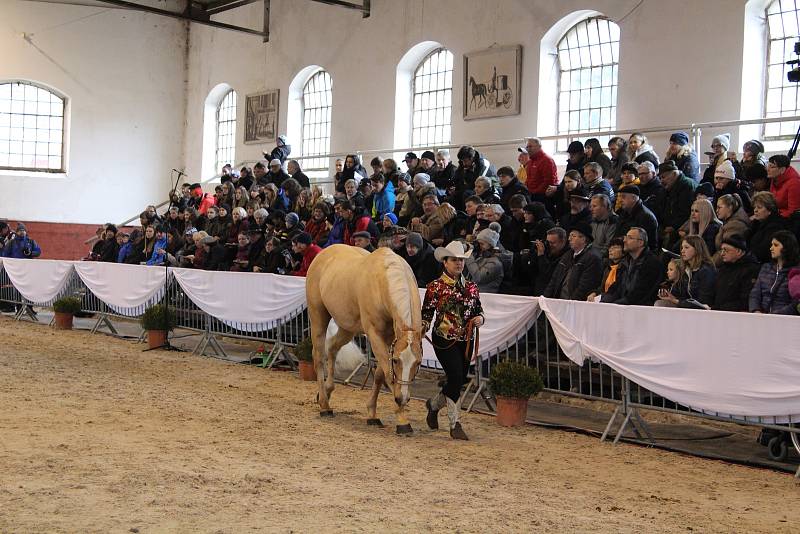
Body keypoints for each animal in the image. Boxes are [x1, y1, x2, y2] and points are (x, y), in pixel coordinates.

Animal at [304, 247, 424, 436]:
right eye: (396, 360)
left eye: (418, 362)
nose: (403, 398)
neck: (383, 282)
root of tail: (323, 254)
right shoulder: (375, 335)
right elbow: (388, 374)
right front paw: (402, 420)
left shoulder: (390, 338)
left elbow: (380, 374)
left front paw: (372, 414)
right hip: (318, 317)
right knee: (319, 357)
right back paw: (324, 405)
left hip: (347, 328)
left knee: (332, 348)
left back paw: (327, 391)